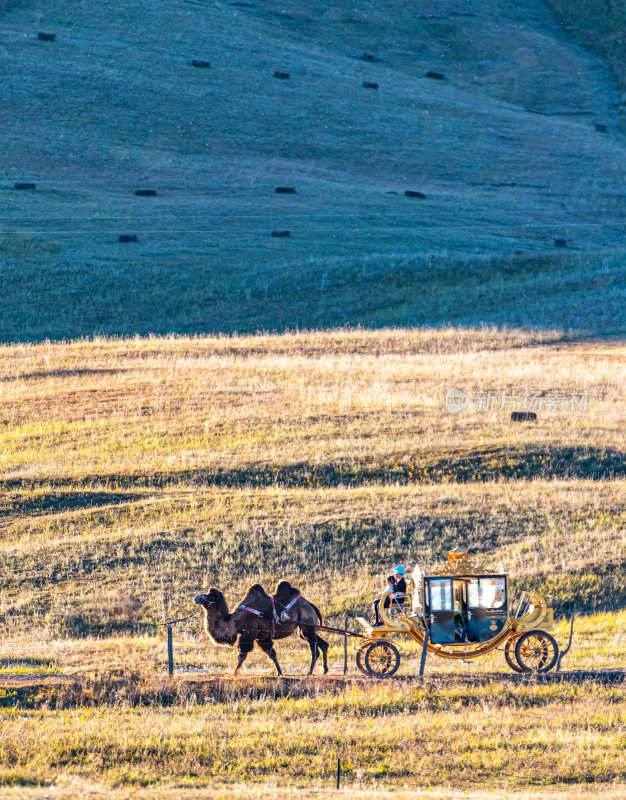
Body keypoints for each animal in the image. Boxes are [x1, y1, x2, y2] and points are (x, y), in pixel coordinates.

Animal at [193, 580, 330, 676]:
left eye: (209, 596)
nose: (196, 598)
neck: (234, 620)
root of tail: (311, 606)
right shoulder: (262, 637)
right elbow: (271, 654)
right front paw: (279, 672)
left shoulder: (248, 633)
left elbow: (242, 655)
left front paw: (235, 672)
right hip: (304, 630)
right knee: (323, 644)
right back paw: (324, 670)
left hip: (307, 624)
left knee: (314, 650)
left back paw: (310, 672)